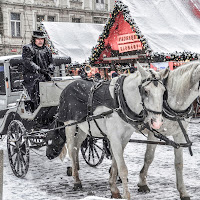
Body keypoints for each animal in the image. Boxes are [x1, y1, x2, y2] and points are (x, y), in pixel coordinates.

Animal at [45, 65, 169, 199]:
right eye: (145, 91)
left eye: (164, 91)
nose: (157, 122)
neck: (119, 101)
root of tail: (68, 85)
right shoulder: (114, 137)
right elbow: (122, 168)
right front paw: (126, 195)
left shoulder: (124, 138)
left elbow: (115, 163)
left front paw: (114, 189)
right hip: (70, 125)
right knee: (71, 149)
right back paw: (76, 181)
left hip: (83, 128)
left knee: (77, 146)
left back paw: (75, 169)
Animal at [138, 61, 200, 200]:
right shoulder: (153, 133)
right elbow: (149, 157)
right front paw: (142, 183)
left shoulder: (179, 135)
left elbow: (179, 163)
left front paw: (183, 192)